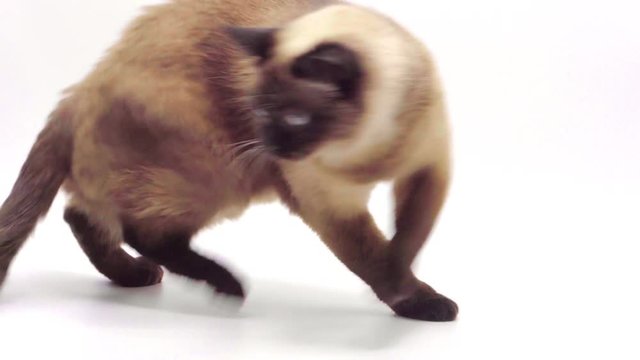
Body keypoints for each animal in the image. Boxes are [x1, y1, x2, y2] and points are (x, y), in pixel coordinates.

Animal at [0, 0, 458, 320]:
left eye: (295, 118)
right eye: (258, 112)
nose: (272, 146)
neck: (373, 154)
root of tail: (78, 91)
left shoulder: (429, 171)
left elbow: (410, 235)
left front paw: (405, 267)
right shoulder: (331, 207)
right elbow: (372, 257)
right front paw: (419, 302)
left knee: (80, 216)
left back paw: (132, 276)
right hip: (221, 175)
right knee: (143, 233)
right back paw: (227, 284)